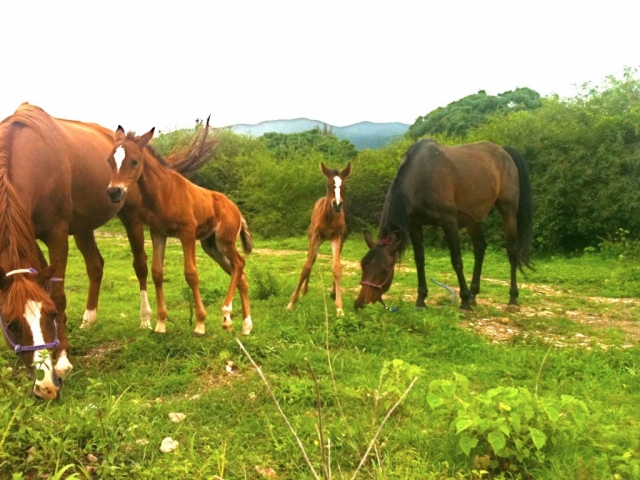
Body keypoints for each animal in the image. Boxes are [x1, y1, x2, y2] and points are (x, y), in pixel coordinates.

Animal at [0, 104, 215, 386]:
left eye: (50, 314)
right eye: (10, 323)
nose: (43, 378)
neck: (28, 155)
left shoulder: (56, 234)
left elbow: (57, 294)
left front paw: (63, 358)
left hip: (131, 218)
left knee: (140, 265)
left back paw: (146, 319)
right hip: (82, 228)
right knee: (95, 266)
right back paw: (88, 319)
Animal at [106, 126, 254, 336]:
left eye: (134, 161)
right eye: (109, 160)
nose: (114, 192)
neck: (163, 192)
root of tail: (237, 211)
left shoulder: (187, 233)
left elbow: (191, 273)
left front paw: (200, 324)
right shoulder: (158, 232)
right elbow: (157, 272)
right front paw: (160, 323)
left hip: (224, 241)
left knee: (239, 264)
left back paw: (226, 316)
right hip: (211, 246)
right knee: (239, 274)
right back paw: (245, 325)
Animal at [287, 163, 352, 315]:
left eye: (345, 186)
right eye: (328, 185)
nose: (337, 205)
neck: (329, 217)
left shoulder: (337, 238)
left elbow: (336, 268)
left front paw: (339, 308)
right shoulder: (316, 237)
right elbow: (306, 267)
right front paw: (292, 303)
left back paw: (333, 293)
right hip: (312, 238)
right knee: (312, 259)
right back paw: (304, 291)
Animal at [355, 139, 533, 311]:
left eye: (384, 270)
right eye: (363, 265)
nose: (360, 303)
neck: (423, 176)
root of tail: (503, 152)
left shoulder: (449, 223)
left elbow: (457, 261)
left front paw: (464, 301)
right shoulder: (415, 225)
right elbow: (419, 260)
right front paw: (421, 299)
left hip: (508, 210)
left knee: (512, 252)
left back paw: (512, 298)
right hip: (473, 218)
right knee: (480, 248)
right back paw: (474, 294)